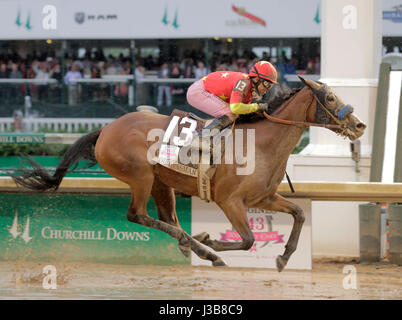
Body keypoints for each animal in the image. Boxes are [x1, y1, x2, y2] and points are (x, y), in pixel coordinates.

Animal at [10, 76, 368, 272]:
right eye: (331, 97)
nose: (359, 125)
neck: (261, 143)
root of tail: (106, 129)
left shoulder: (263, 197)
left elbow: (298, 214)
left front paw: (283, 257)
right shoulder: (230, 201)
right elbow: (247, 240)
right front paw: (209, 241)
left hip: (160, 182)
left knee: (166, 217)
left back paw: (189, 245)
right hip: (140, 176)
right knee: (137, 215)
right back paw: (199, 248)